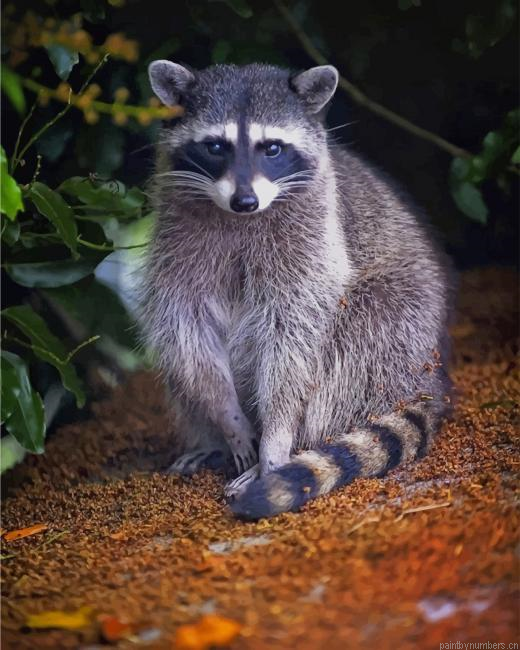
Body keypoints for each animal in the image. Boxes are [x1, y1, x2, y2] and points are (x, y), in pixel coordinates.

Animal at [138, 60, 452, 520]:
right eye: (215, 146)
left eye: (272, 148)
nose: (245, 201)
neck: (241, 217)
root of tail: (425, 380)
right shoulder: (177, 235)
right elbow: (187, 327)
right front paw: (229, 421)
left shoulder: (313, 238)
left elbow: (295, 340)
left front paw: (277, 439)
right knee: (182, 367)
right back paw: (213, 442)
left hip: (401, 325)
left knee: (358, 336)